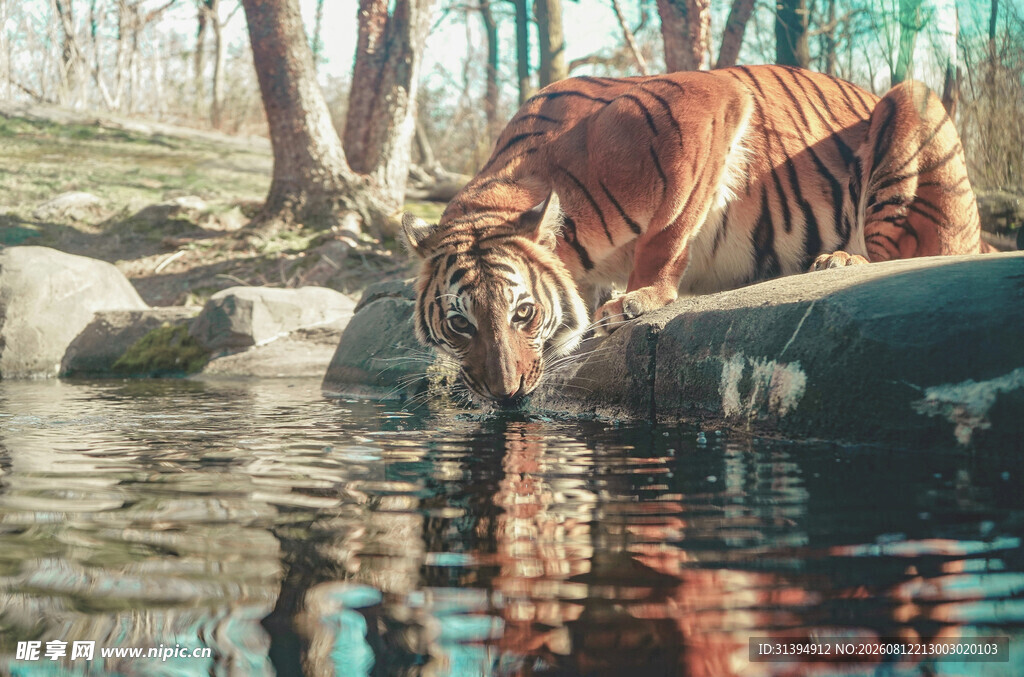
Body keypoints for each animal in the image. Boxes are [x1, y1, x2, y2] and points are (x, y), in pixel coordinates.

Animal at [401, 64, 990, 406]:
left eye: (522, 313)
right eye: (459, 323)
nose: (505, 395)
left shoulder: (709, 102)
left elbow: (669, 230)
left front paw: (637, 299)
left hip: (912, 104)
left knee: (899, 248)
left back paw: (841, 260)